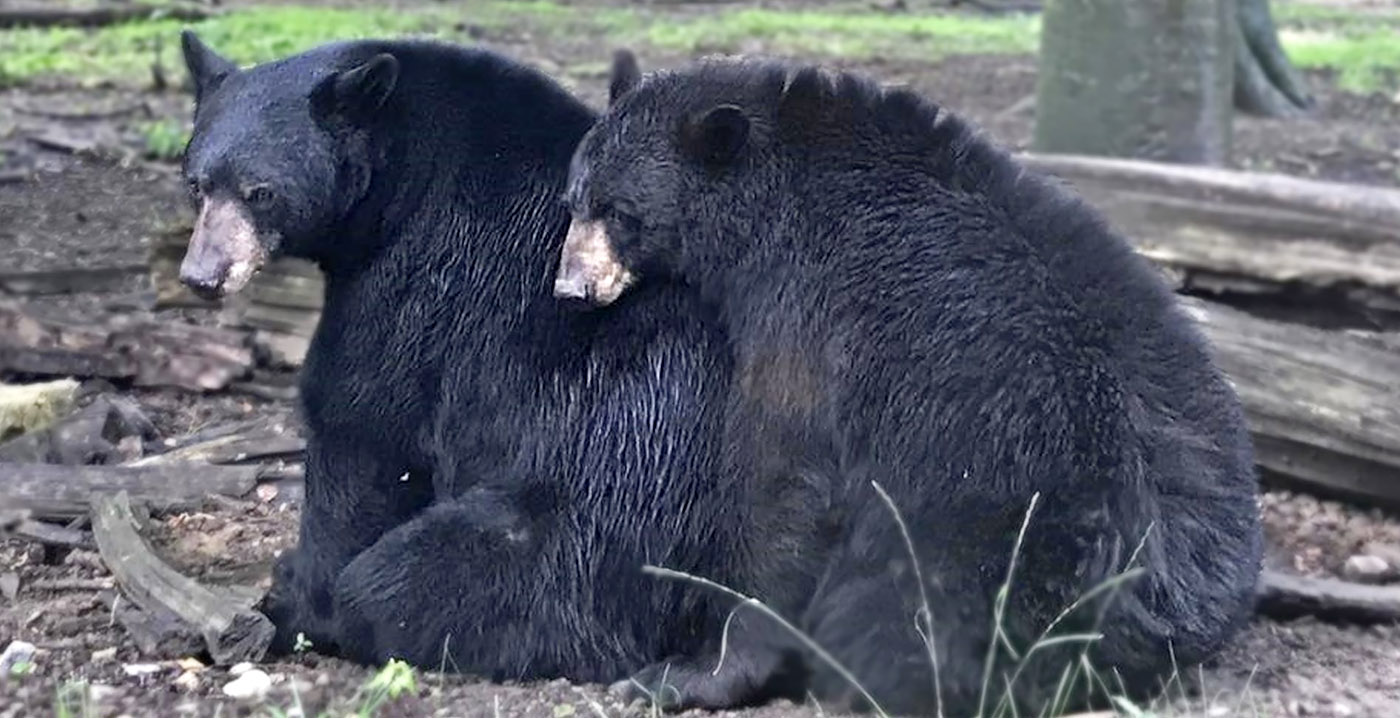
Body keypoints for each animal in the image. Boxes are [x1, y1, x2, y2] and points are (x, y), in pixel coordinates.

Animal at [175, 36, 744, 685]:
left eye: (260, 191)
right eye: (196, 184)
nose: (203, 276)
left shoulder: (416, 282)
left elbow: (362, 430)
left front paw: (293, 599)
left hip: (591, 510)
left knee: (414, 581)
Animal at [557, 57, 1271, 716]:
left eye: (620, 212)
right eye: (574, 200)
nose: (570, 288)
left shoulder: (806, 312)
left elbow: (785, 482)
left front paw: (691, 672)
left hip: (975, 554)